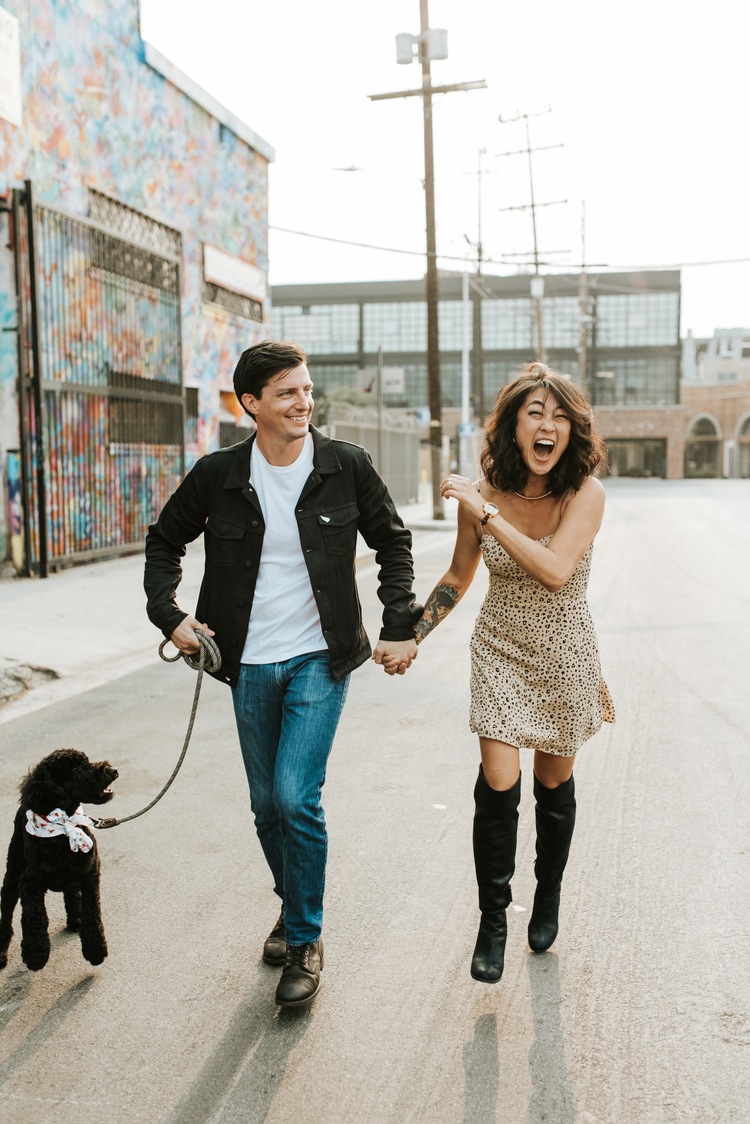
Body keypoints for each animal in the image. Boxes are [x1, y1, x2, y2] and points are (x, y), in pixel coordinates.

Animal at [0, 746, 118, 975]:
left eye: (86, 761)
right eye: (74, 769)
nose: (112, 771)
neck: (63, 830)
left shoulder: (90, 874)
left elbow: (93, 913)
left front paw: (95, 950)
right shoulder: (29, 882)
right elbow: (36, 916)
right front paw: (36, 954)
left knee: (71, 893)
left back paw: (75, 919)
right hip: (12, 874)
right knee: (6, 916)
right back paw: (1, 953)